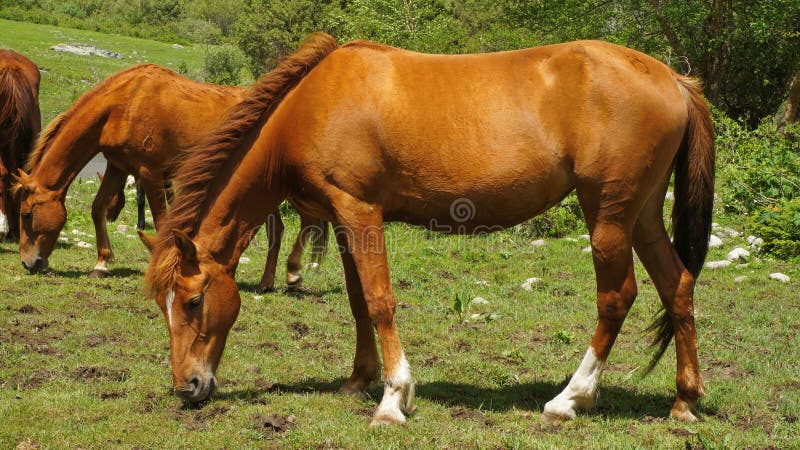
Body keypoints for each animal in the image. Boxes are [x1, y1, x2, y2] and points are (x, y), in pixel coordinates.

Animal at [15, 63, 324, 288]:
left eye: (26, 214)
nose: (28, 263)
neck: (124, 104)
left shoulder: (151, 173)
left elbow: (163, 220)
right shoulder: (118, 166)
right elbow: (98, 208)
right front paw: (101, 263)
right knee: (278, 229)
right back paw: (268, 281)